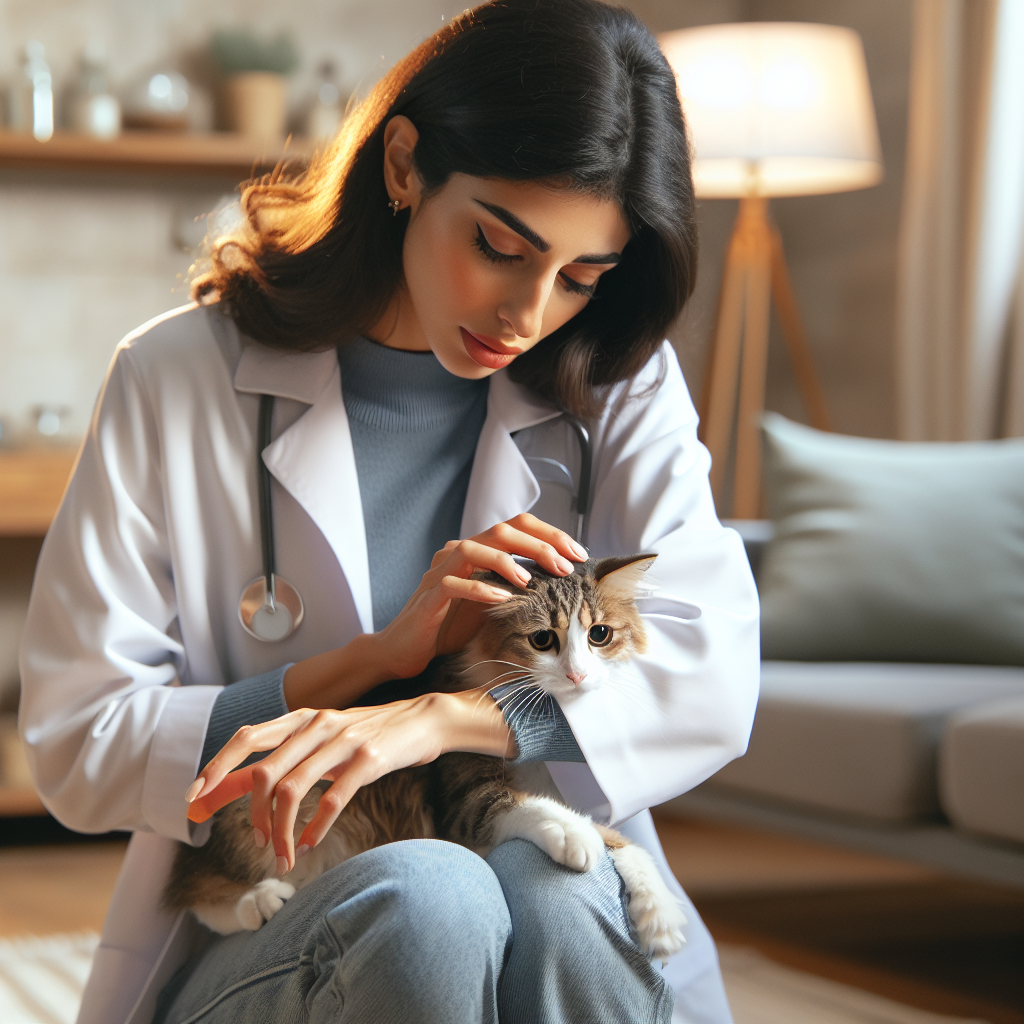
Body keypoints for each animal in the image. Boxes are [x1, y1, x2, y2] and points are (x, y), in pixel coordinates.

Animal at [161, 552, 688, 958]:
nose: (578, 675)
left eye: (600, 634)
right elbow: (524, 807)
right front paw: (571, 831)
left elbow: (622, 841)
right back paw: (260, 901)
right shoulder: (458, 801)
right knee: (194, 892)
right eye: (543, 640)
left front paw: (658, 912)